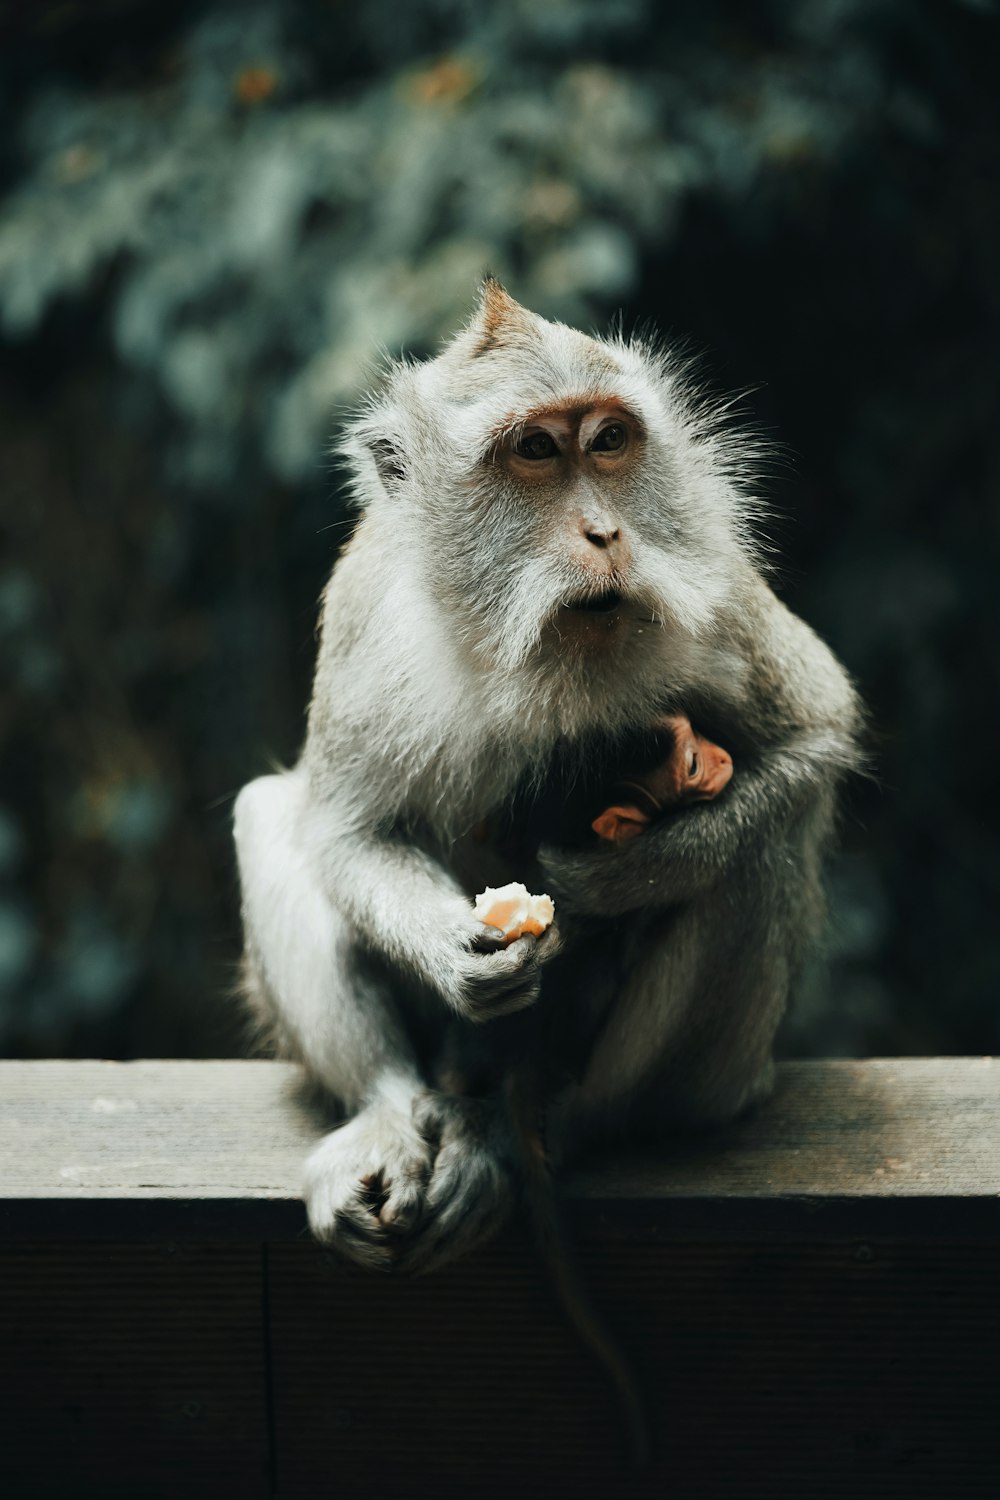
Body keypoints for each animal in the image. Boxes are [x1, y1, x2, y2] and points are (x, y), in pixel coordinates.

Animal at [235, 276, 863, 1272]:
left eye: (608, 440)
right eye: (534, 449)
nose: (606, 530)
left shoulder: (715, 580)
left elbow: (816, 733)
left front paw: (613, 879)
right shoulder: (369, 608)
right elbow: (347, 829)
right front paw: (458, 955)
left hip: (713, 1085)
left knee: (755, 856)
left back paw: (553, 1127)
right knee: (270, 812)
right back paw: (388, 1111)